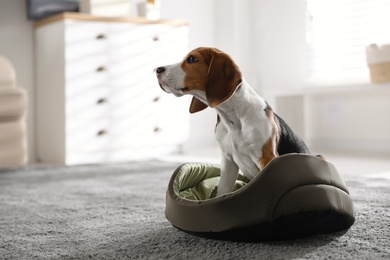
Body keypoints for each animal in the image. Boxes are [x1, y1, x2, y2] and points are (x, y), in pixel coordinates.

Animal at [155, 47, 320, 196]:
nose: (157, 69)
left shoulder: (267, 157)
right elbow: (222, 190)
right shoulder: (228, 160)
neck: (233, 118)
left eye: (191, 59)